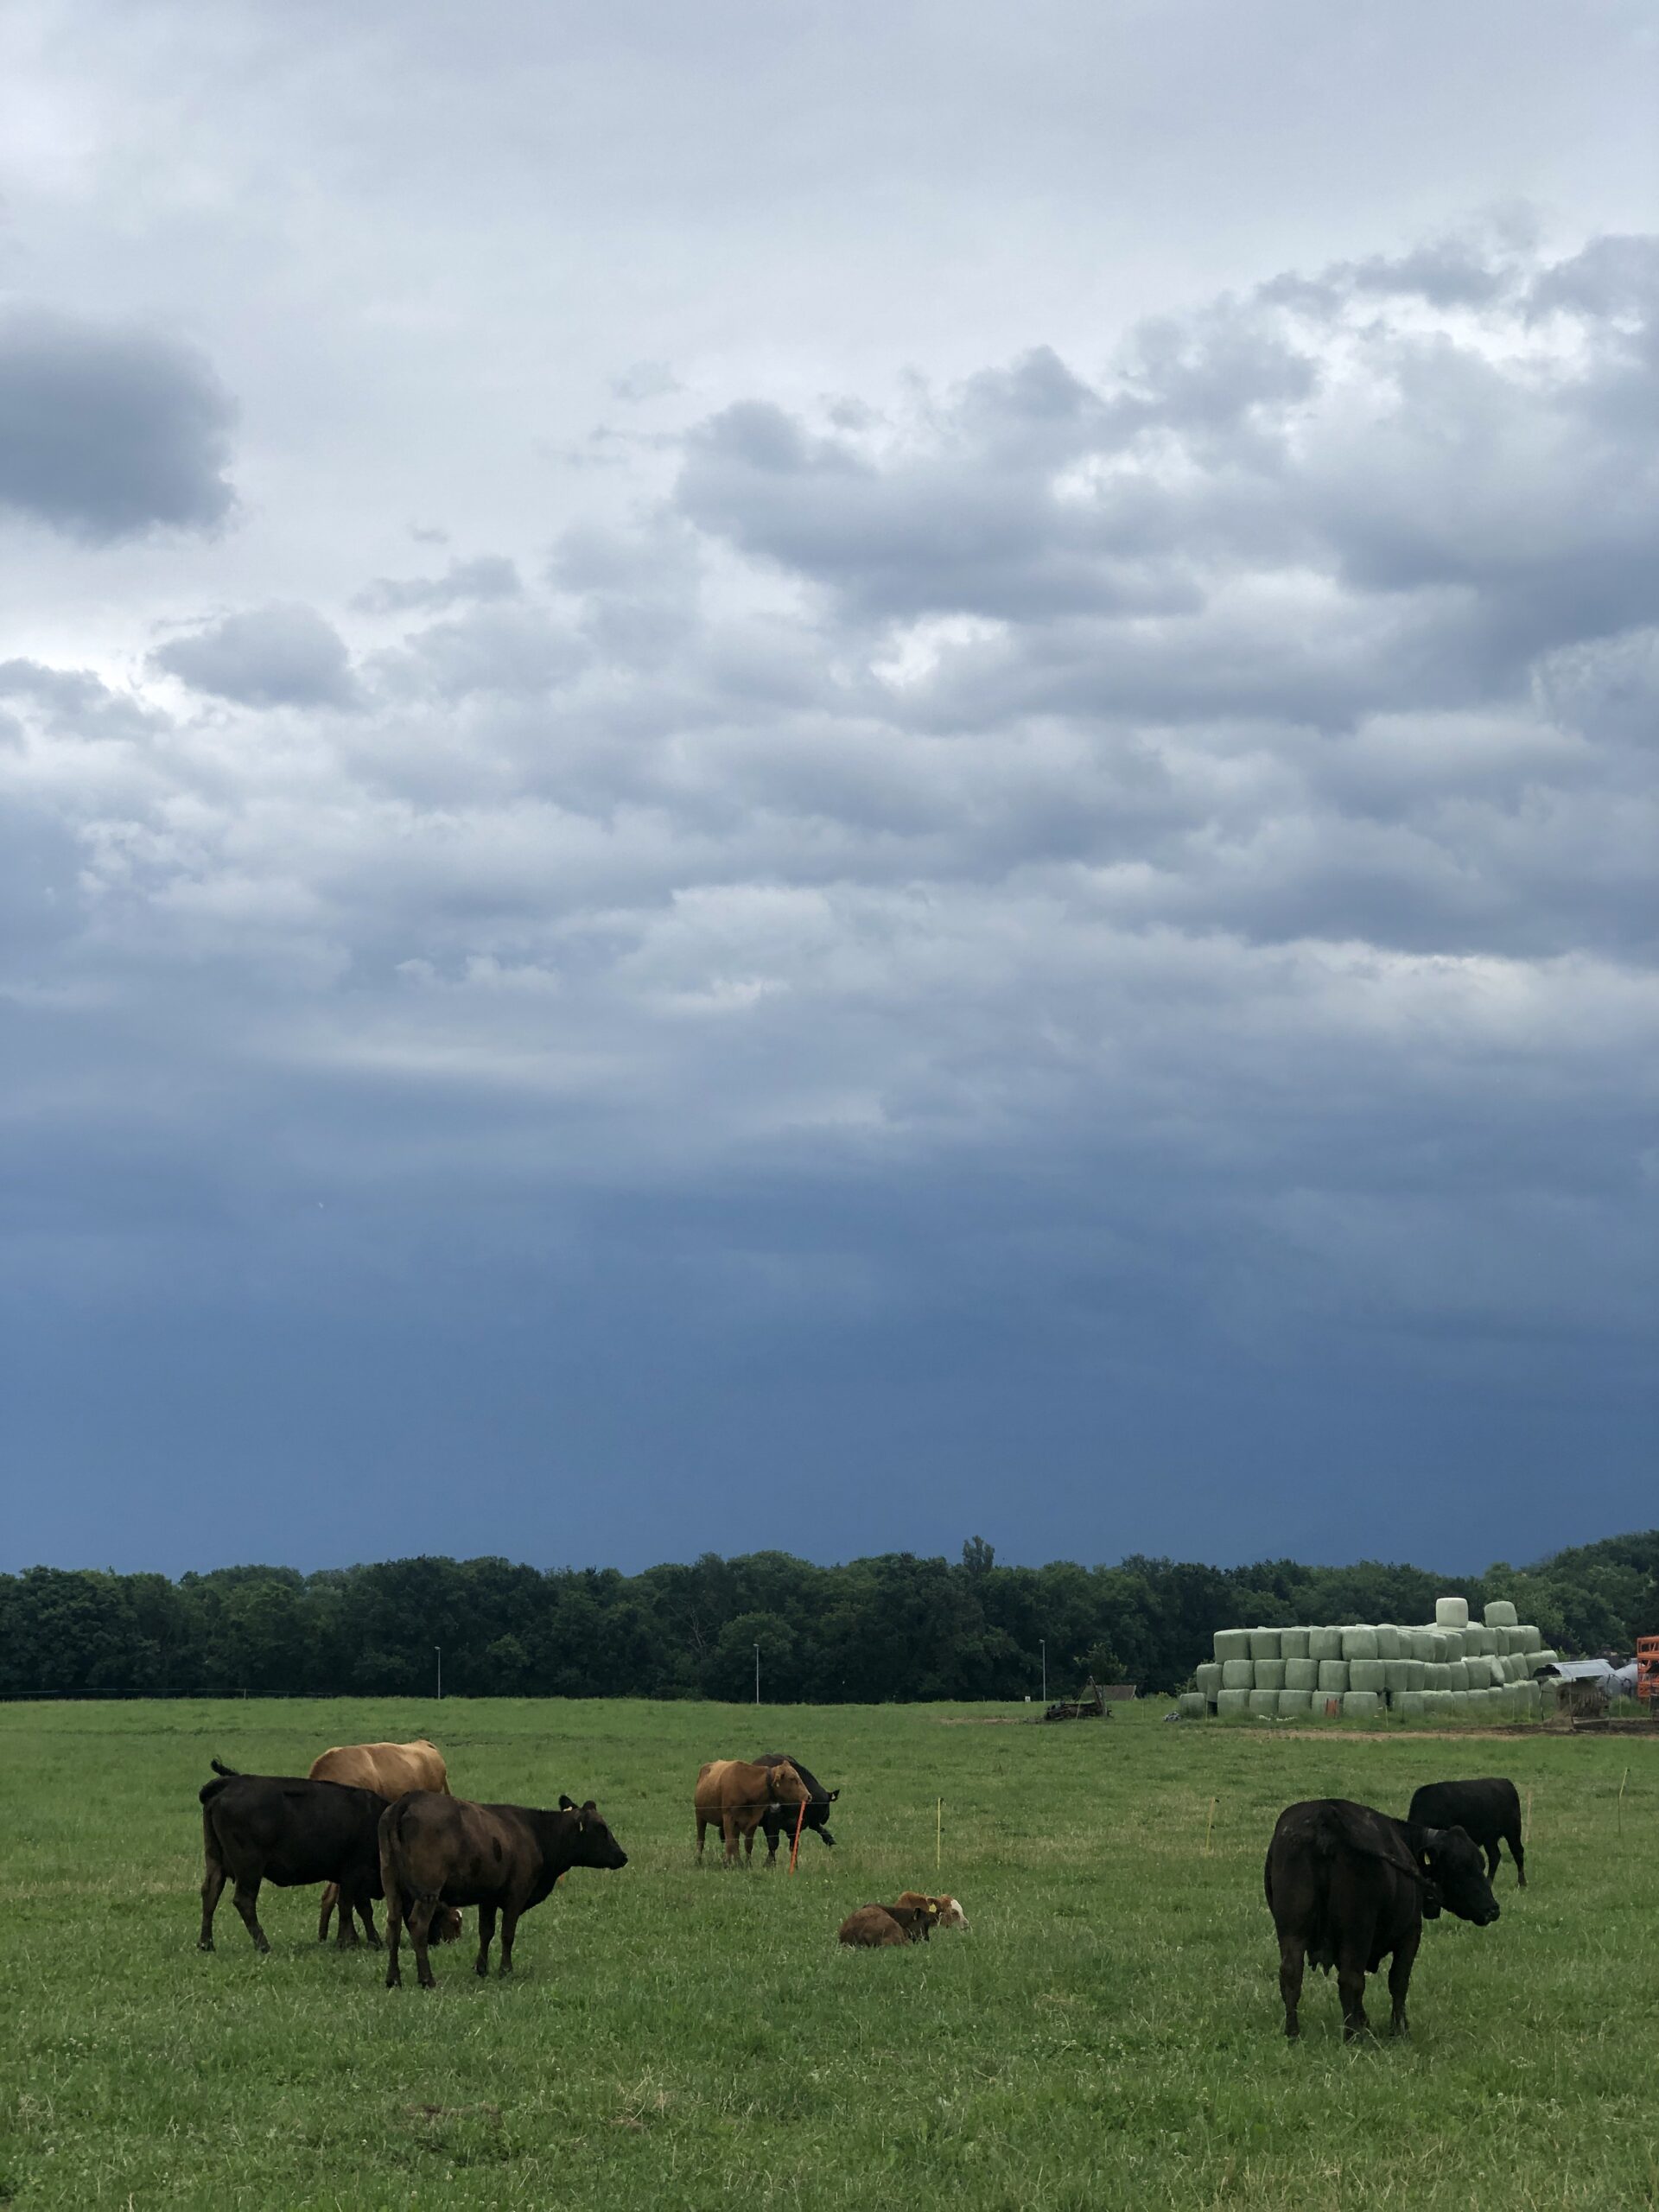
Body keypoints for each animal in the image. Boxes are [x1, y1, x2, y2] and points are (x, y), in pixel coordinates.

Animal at [694, 1760, 814, 1866]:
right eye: (792, 1778)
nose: (808, 1796)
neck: (747, 1785)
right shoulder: (728, 1818)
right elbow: (729, 1843)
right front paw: (727, 1864)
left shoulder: (754, 1820)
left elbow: (748, 1844)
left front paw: (748, 1864)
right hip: (699, 1816)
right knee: (701, 1840)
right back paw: (698, 1861)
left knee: (736, 1842)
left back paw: (739, 1862)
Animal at [1265, 1796, 1503, 2035]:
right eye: (1460, 1867)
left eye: (1480, 1863)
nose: (1493, 1909)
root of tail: (1325, 1815)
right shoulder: (1411, 1934)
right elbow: (1398, 1981)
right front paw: (1399, 2029)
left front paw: (1366, 2022)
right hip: (1357, 1929)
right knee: (1350, 1979)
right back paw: (1353, 2035)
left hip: (1292, 1929)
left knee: (1292, 1975)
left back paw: (1293, 2033)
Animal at [1407, 1778, 1530, 1885]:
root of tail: (1505, 1782)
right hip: (1490, 1839)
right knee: (1495, 1856)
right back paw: (1489, 1882)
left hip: (1513, 1832)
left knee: (1518, 1852)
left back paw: (1522, 1883)